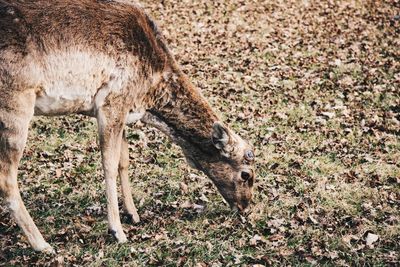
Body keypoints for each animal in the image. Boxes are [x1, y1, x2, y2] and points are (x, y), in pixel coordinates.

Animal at [0, 0, 256, 253]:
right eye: (246, 174)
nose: (246, 208)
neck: (148, 95)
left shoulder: (123, 111)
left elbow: (124, 160)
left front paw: (133, 214)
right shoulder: (112, 102)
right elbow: (109, 165)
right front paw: (118, 232)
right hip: (16, 104)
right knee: (6, 178)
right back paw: (42, 245)